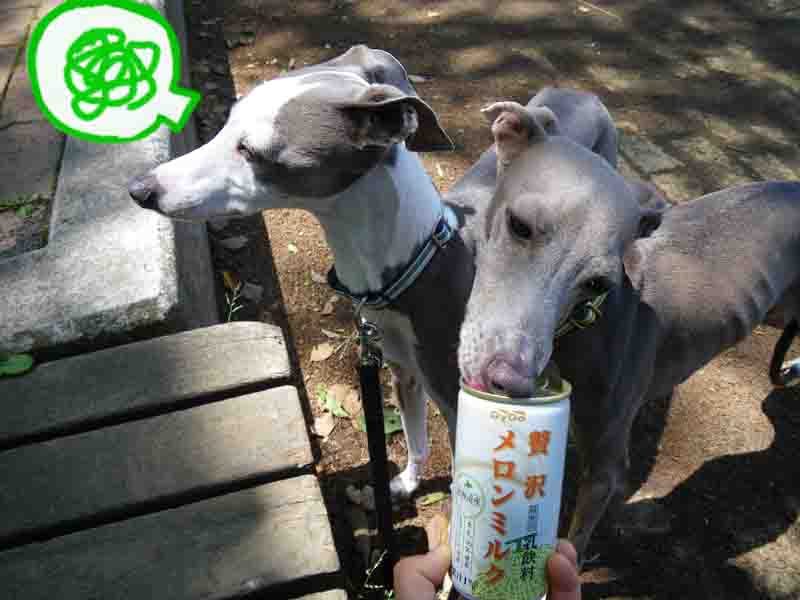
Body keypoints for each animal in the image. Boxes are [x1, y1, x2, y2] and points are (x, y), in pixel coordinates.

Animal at [128, 45, 650, 498]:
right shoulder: (402, 370)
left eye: (253, 152)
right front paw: (406, 484)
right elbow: (415, 438)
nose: (140, 189)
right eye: (227, 124)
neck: (412, 267)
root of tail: (582, 93)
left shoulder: (457, 399)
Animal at [458, 100, 800, 560]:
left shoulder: (606, 465)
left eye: (598, 283)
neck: (584, 325)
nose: (510, 381)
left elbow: (575, 538)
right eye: (519, 225)